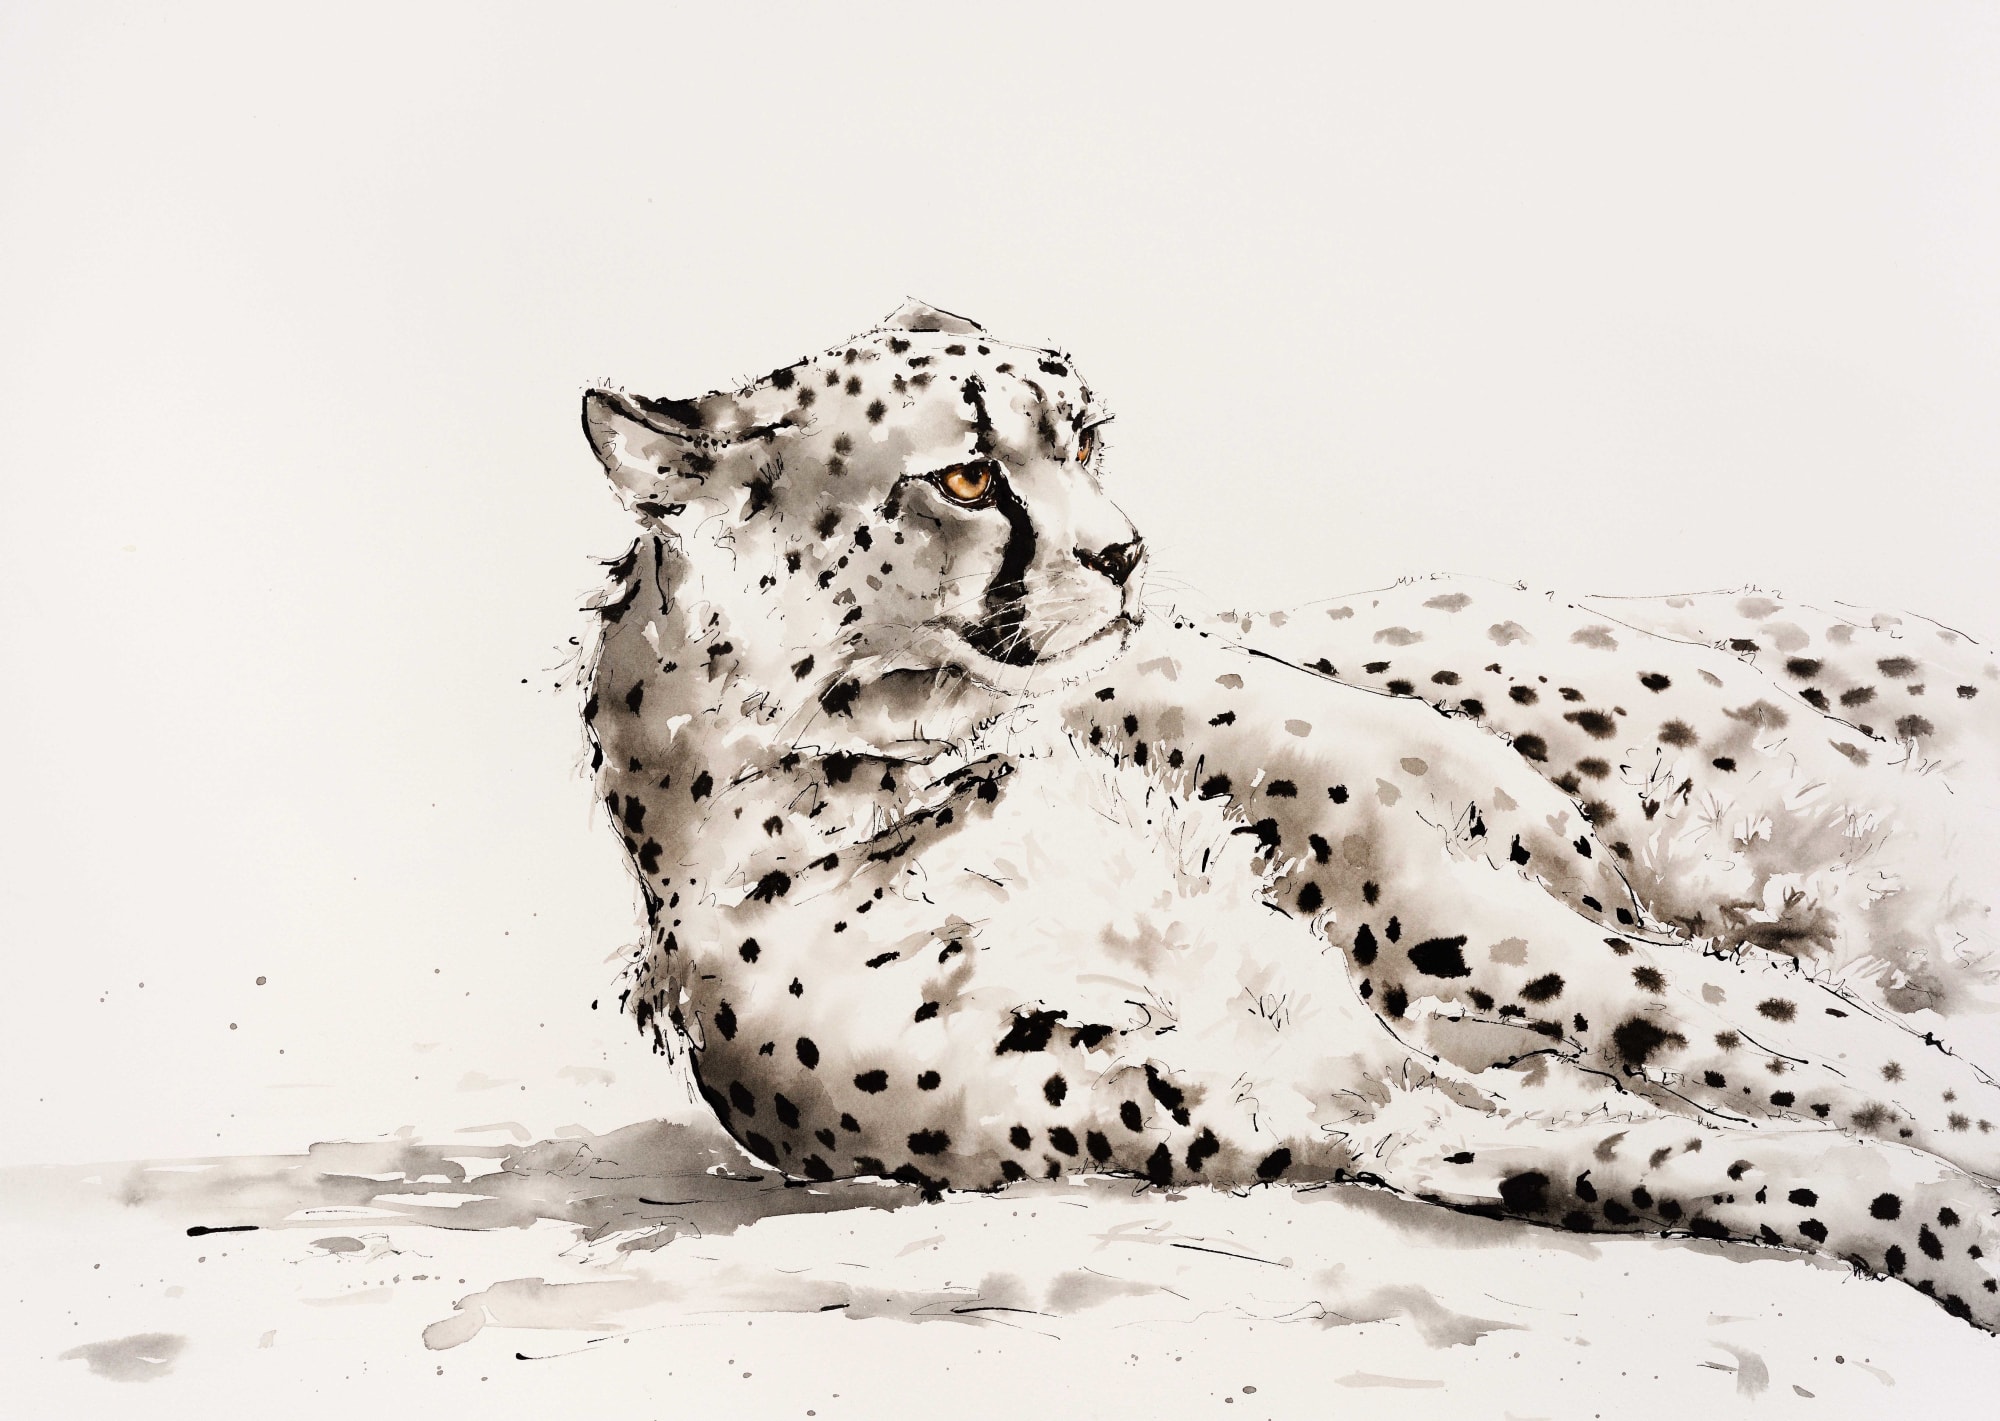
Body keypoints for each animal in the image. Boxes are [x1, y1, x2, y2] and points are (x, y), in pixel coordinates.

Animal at [579, 300, 2000, 1330]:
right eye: (969, 478)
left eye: (1083, 438)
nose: (1124, 554)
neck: (906, 777)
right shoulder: (1355, 1098)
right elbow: (1766, 1166)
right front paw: (1959, 1238)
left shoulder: (1529, 951)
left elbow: (1872, 1072)